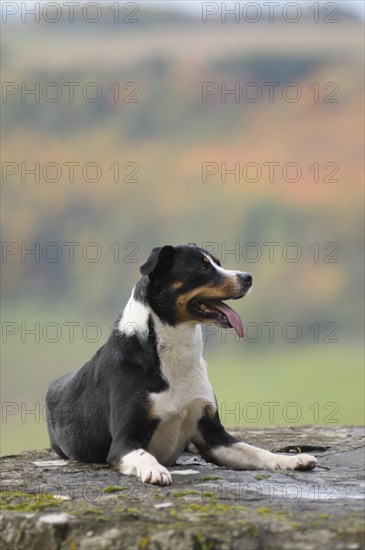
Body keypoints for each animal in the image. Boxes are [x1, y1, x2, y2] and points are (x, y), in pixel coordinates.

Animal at [46, 246, 316, 488]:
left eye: (217, 262)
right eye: (202, 268)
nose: (248, 278)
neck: (174, 352)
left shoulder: (213, 437)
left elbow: (255, 451)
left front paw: (290, 459)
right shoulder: (124, 441)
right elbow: (145, 455)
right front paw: (155, 470)